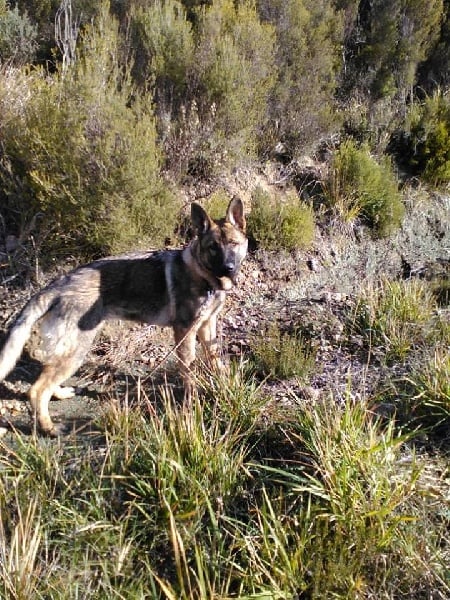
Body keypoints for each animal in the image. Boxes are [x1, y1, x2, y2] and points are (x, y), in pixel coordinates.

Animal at [0, 197, 246, 436]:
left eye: (233, 244)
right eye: (213, 247)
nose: (228, 268)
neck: (203, 275)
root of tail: (57, 285)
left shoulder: (207, 325)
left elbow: (215, 359)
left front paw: (224, 384)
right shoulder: (185, 333)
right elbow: (189, 372)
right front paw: (192, 402)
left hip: (69, 351)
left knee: (46, 378)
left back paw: (59, 394)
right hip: (78, 350)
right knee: (36, 390)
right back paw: (49, 428)